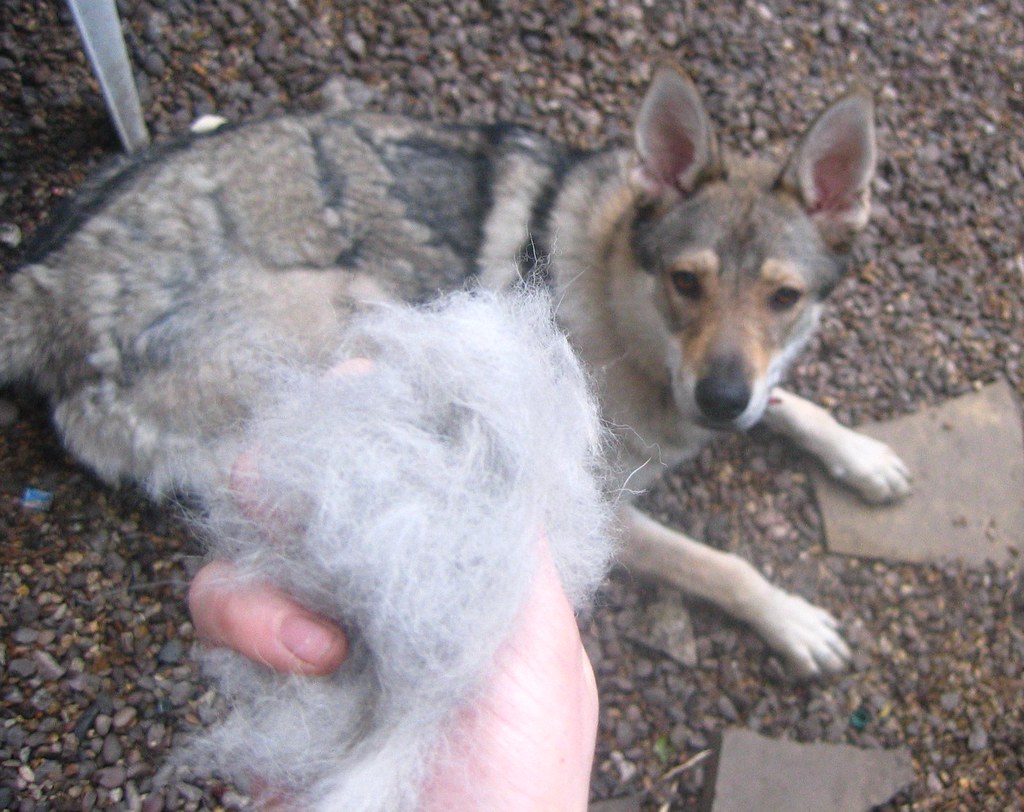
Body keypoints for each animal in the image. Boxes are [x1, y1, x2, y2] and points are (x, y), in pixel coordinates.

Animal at [2, 66, 913, 679]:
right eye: (687, 282)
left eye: (783, 298)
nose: (721, 400)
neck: (624, 313)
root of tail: (47, 282)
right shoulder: (602, 501)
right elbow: (719, 564)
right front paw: (792, 621)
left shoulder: (745, 386)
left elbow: (794, 402)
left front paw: (863, 456)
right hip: (351, 319)